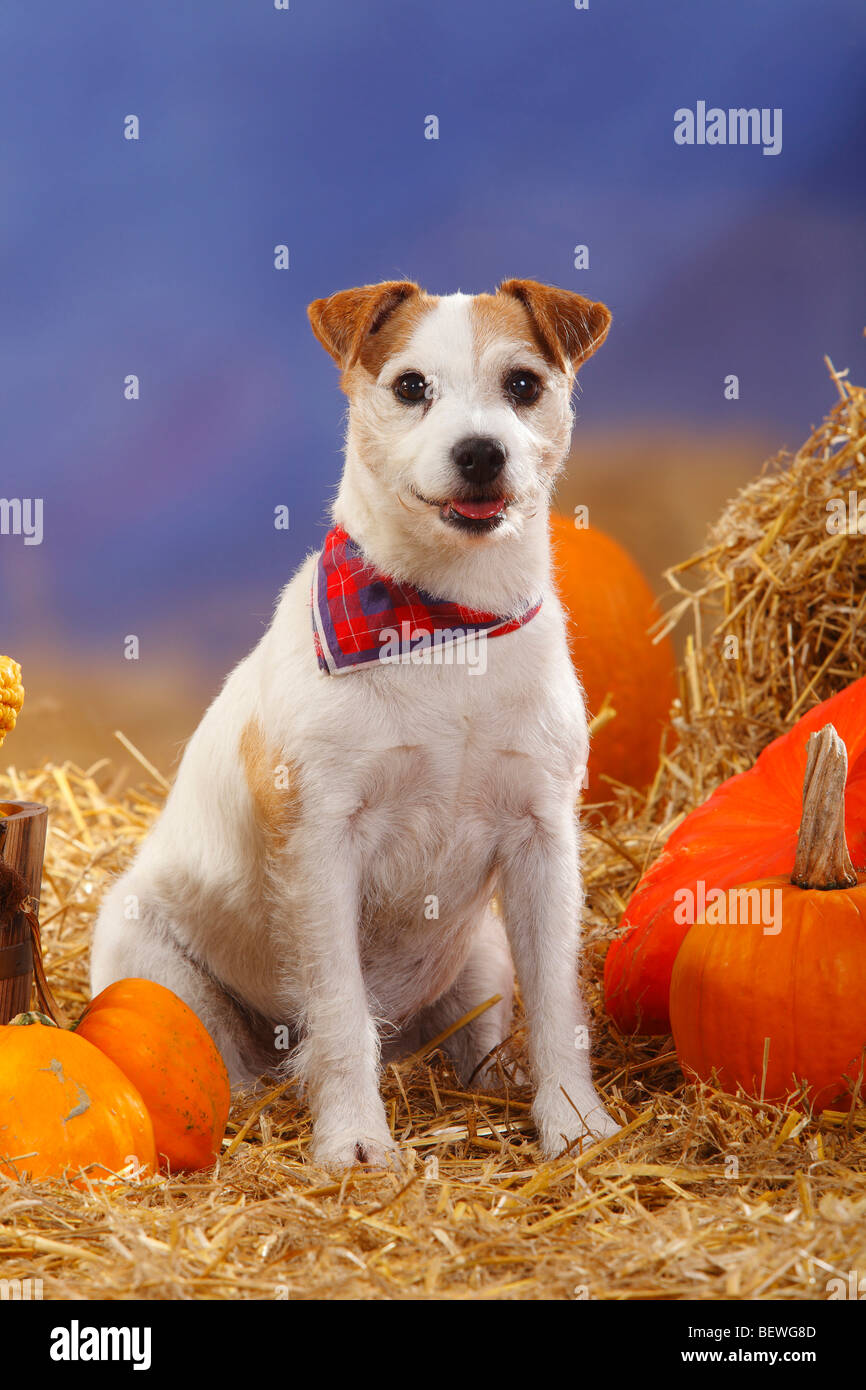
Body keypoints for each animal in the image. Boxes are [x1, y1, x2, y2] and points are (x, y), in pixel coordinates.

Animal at [91, 276, 619, 1167]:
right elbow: (339, 1014)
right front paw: (356, 1140)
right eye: (410, 387)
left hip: (480, 960)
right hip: (152, 966)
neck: (446, 623)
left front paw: (572, 1120)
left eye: (523, 384)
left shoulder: (543, 840)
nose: (481, 453)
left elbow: (557, 1004)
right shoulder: (322, 847)